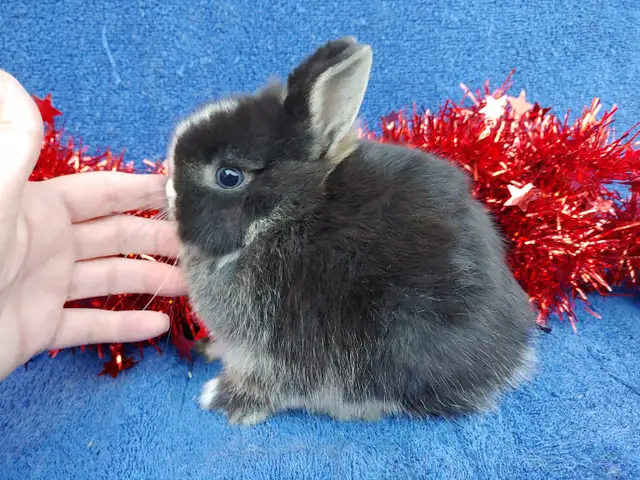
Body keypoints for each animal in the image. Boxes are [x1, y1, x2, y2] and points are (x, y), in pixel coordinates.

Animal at [164, 36, 538, 425]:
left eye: (228, 176)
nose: (168, 191)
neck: (283, 218)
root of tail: (513, 353)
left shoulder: (280, 348)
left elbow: (271, 383)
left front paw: (222, 398)